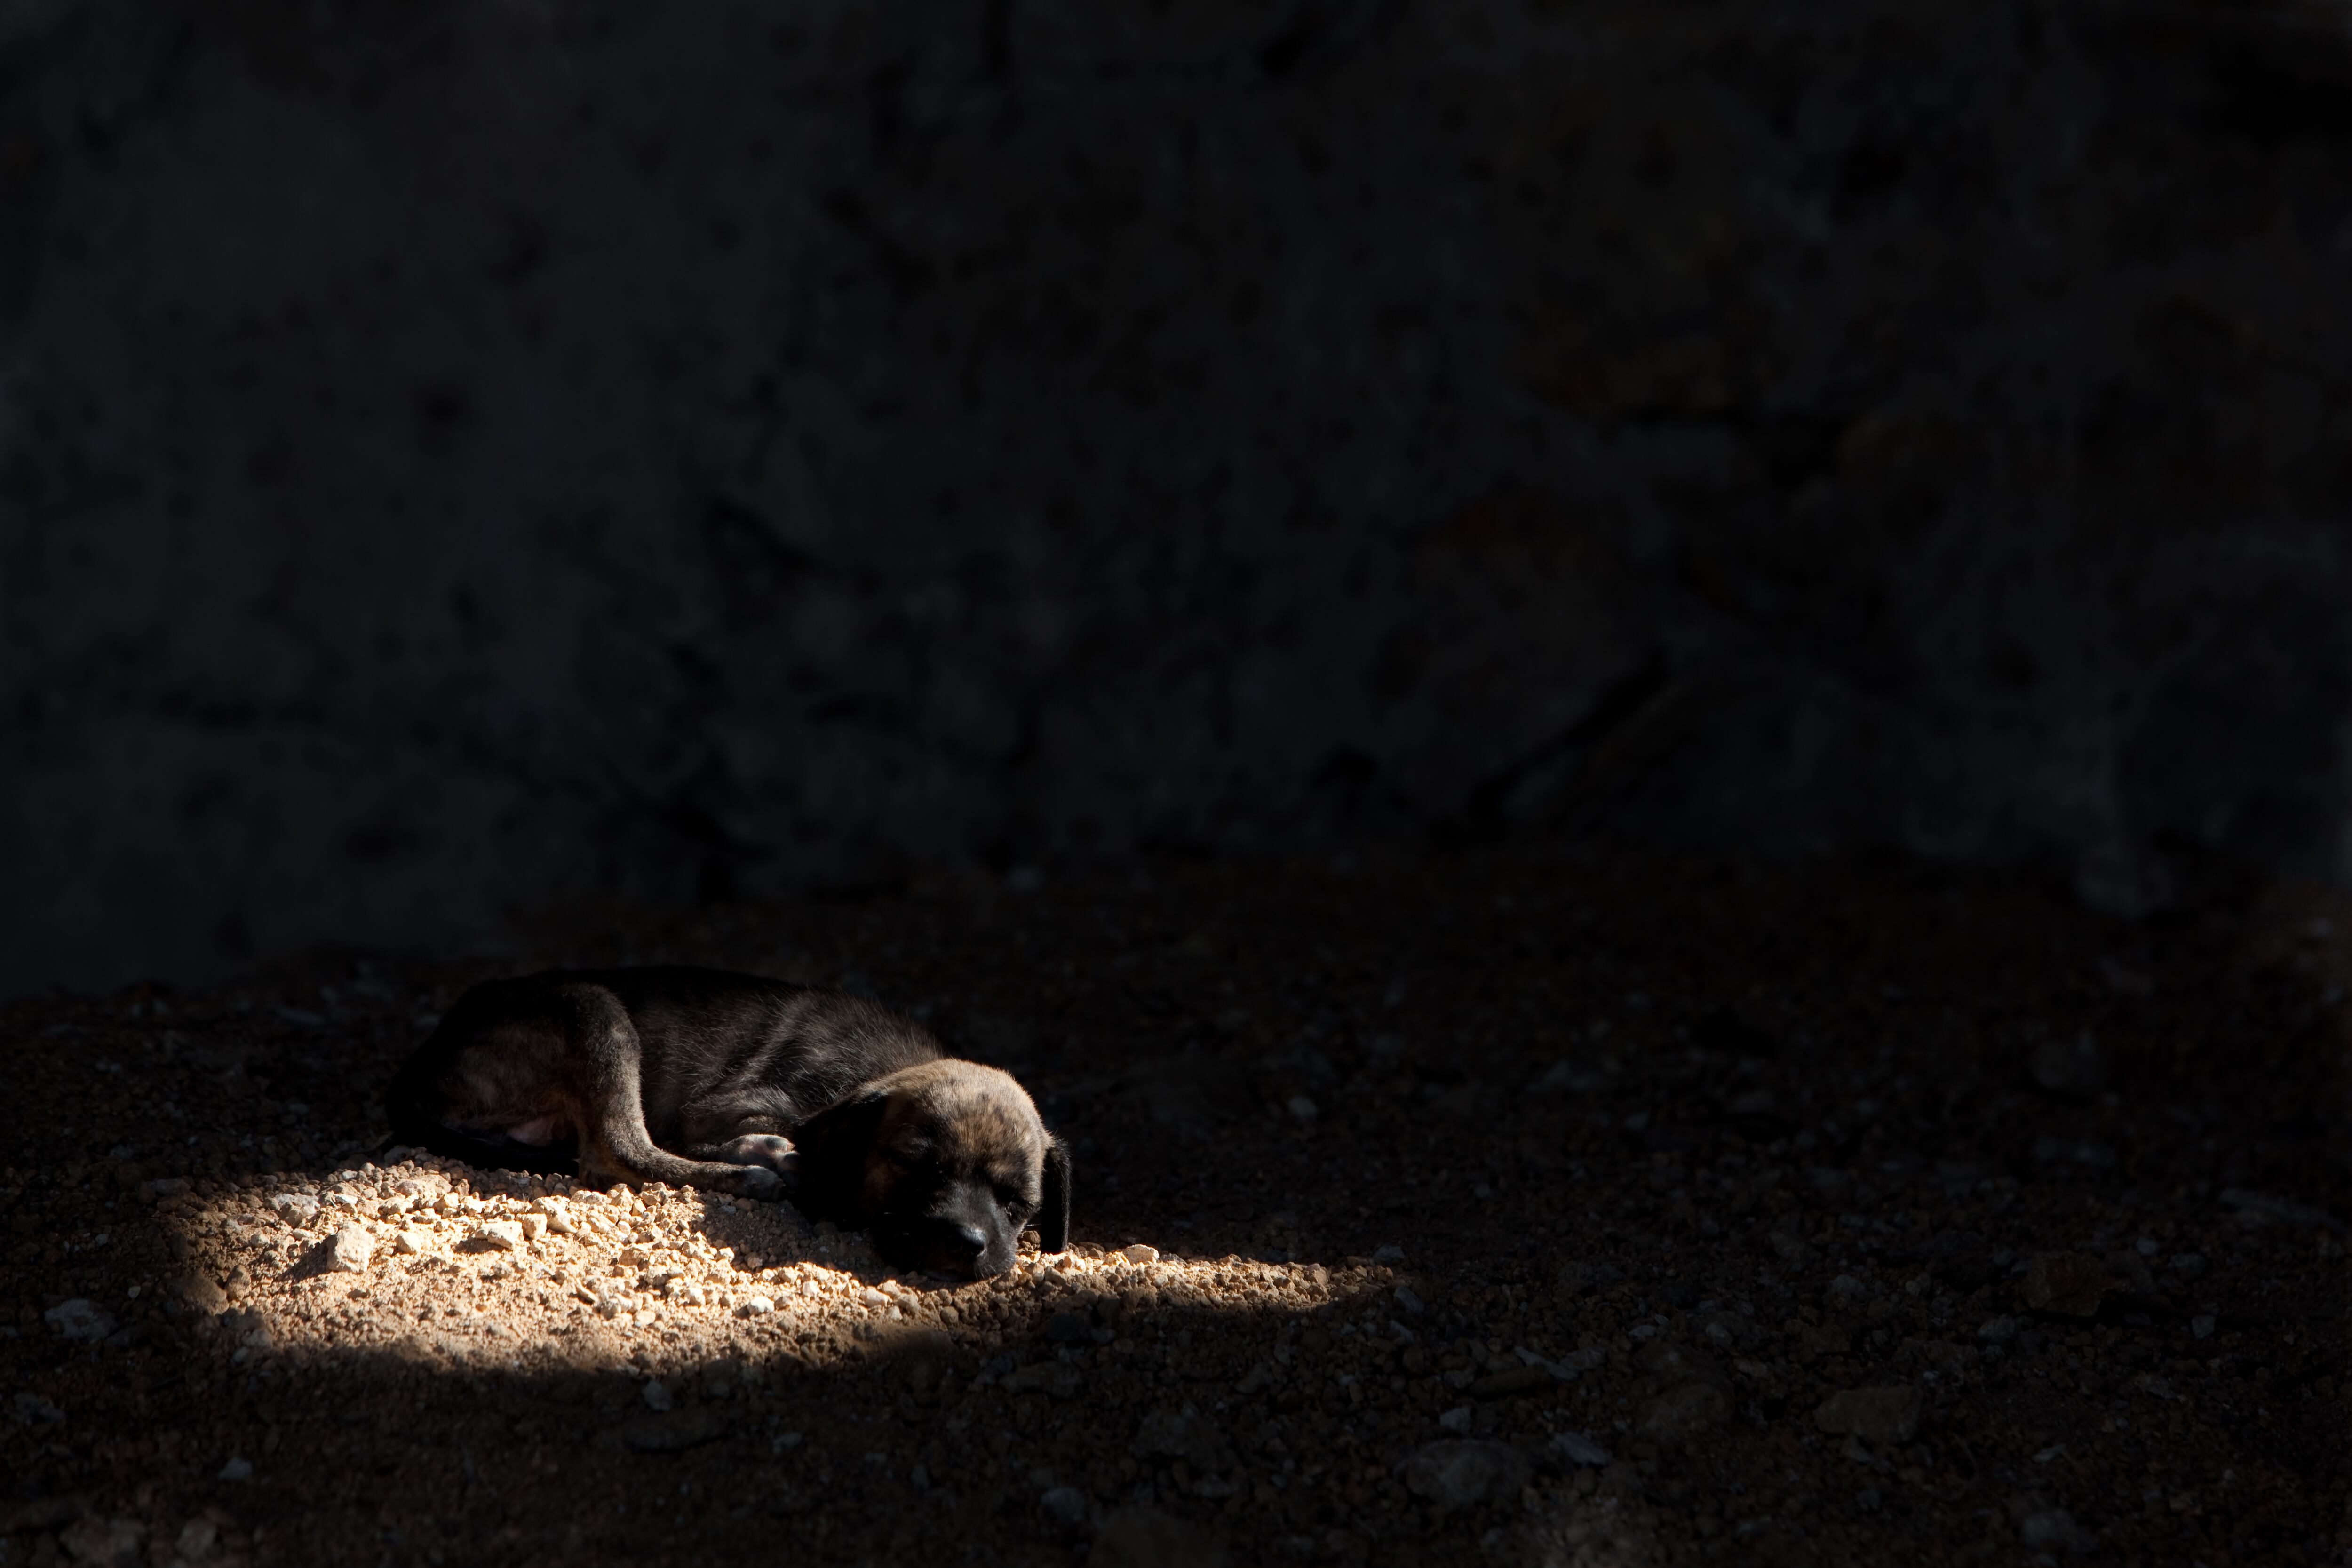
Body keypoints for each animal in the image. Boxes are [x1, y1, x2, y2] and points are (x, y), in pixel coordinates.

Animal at [388, 968, 1077, 1288]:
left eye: (1020, 1205)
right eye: (916, 1164)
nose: (966, 1243)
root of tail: (421, 1066)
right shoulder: (725, 1107)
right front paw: (775, 1158)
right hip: (595, 1012)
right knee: (618, 1150)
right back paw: (751, 1173)